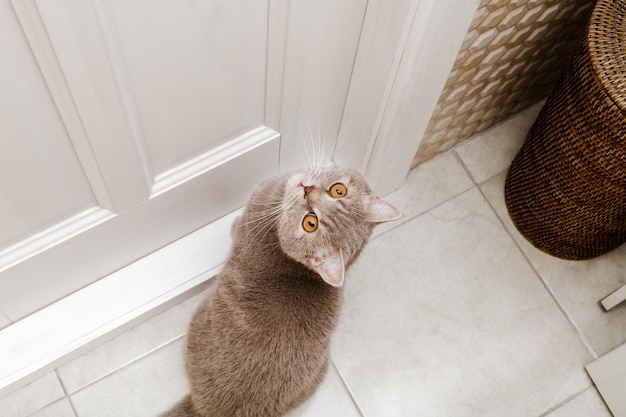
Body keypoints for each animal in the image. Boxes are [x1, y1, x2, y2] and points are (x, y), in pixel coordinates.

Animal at [163, 166, 398, 416]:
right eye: (338, 190)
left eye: (310, 223)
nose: (307, 189)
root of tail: (206, 409)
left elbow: (238, 226)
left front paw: (233, 223)